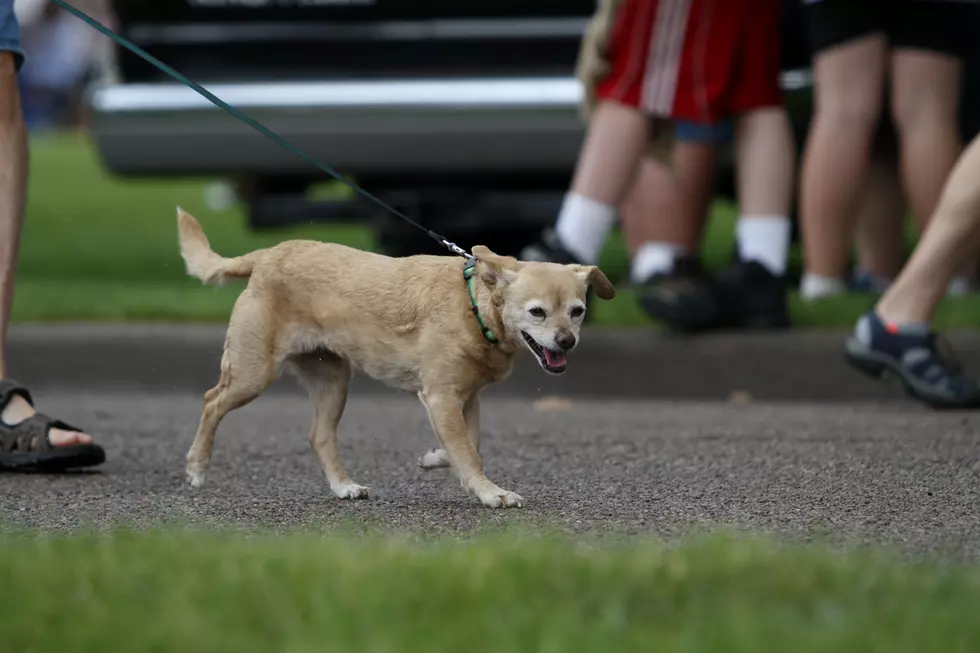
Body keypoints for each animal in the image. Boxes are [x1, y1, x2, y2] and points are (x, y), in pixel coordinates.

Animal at [176, 209, 616, 510]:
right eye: (537, 312)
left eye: (577, 311)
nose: (566, 341)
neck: (473, 307)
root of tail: (268, 254)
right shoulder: (440, 397)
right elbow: (469, 450)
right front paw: (490, 492)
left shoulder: (465, 399)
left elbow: (469, 444)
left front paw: (436, 458)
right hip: (253, 373)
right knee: (211, 402)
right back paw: (197, 467)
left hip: (333, 381)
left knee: (318, 435)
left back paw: (343, 486)